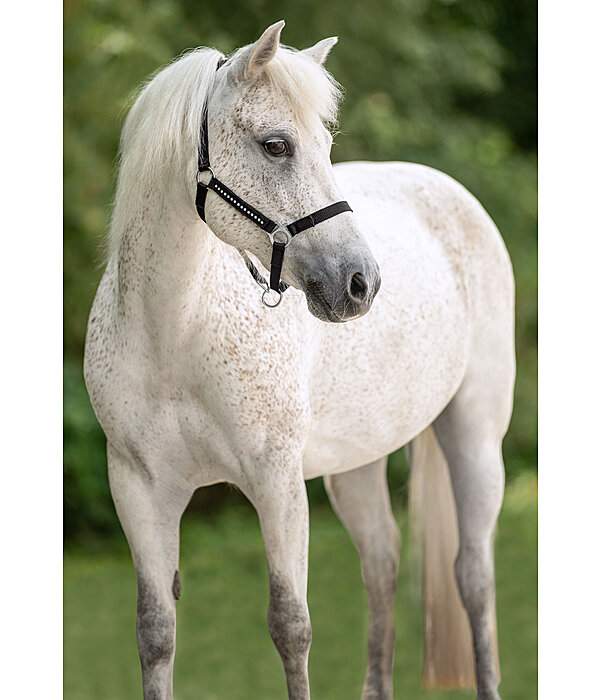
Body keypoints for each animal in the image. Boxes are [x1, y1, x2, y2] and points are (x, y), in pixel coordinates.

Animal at [84, 20, 516, 700]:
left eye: (324, 144)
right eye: (275, 145)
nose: (361, 282)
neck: (174, 331)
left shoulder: (277, 481)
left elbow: (291, 626)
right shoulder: (139, 487)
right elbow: (156, 632)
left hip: (474, 434)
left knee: (473, 576)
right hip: (358, 461)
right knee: (382, 563)